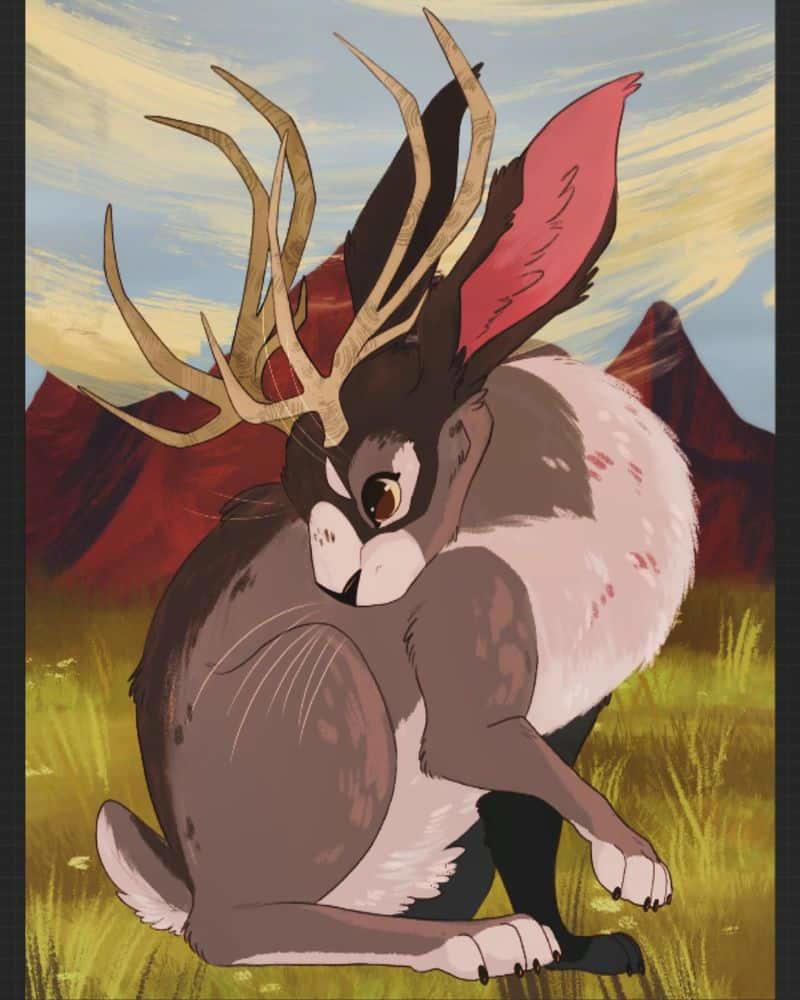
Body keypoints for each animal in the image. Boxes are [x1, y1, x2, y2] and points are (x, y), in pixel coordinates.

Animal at [89, 10, 696, 984]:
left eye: (380, 492)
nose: (342, 589)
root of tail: (186, 878)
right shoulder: (474, 650)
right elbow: (501, 760)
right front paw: (636, 868)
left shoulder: (566, 719)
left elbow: (532, 830)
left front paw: (589, 945)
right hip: (330, 694)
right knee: (233, 932)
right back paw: (478, 940)